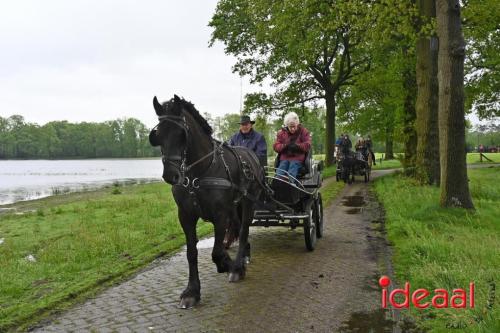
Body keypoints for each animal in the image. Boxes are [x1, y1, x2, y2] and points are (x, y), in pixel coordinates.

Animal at [149, 94, 264, 308]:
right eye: (157, 135)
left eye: (182, 133)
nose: (170, 175)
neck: (198, 173)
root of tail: (250, 154)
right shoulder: (185, 216)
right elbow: (191, 253)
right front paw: (192, 291)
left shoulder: (220, 215)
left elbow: (216, 252)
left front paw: (228, 264)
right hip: (234, 206)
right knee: (238, 228)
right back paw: (244, 255)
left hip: (248, 202)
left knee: (244, 228)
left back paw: (237, 265)